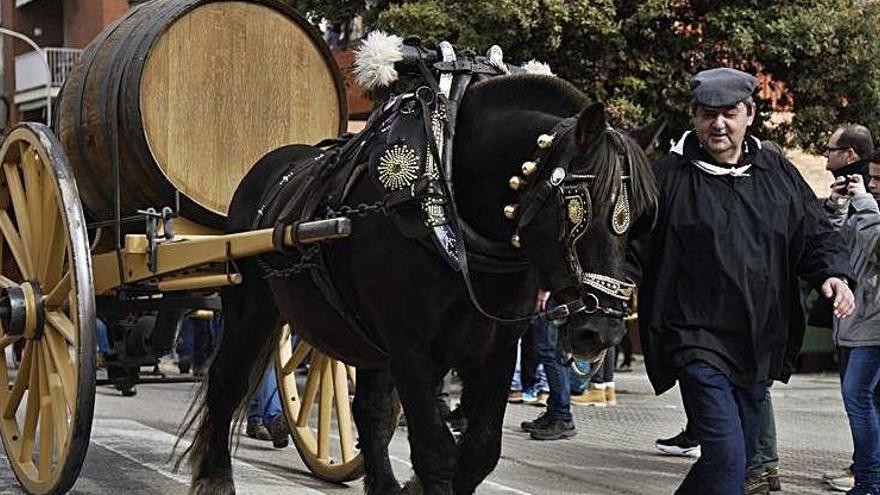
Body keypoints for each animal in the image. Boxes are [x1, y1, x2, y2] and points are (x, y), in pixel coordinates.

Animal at [182, 74, 656, 495]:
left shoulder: (495, 350)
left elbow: (480, 450)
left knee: (368, 410)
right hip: (251, 309)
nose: (604, 330)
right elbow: (436, 450)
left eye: (639, 219)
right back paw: (215, 476)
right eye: (579, 210)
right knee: (227, 379)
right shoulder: (409, 347)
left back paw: (383, 485)